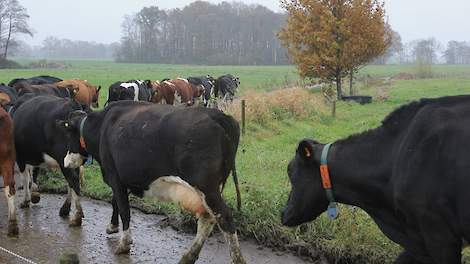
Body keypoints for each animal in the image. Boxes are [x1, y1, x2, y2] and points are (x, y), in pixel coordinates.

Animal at [12, 96, 91, 226]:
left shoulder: (20, 156)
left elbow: (26, 177)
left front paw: (26, 200)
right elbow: (34, 170)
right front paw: (34, 194)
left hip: (63, 157)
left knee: (73, 180)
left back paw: (77, 216)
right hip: (74, 159)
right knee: (73, 181)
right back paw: (65, 209)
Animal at [58, 100, 246, 262]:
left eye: (68, 134)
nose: (65, 162)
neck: (102, 126)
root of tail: (219, 116)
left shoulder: (114, 175)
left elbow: (124, 209)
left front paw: (124, 243)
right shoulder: (125, 178)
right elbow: (115, 202)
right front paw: (112, 226)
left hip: (207, 187)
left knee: (224, 218)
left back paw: (236, 259)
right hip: (212, 188)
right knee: (208, 219)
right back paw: (188, 256)